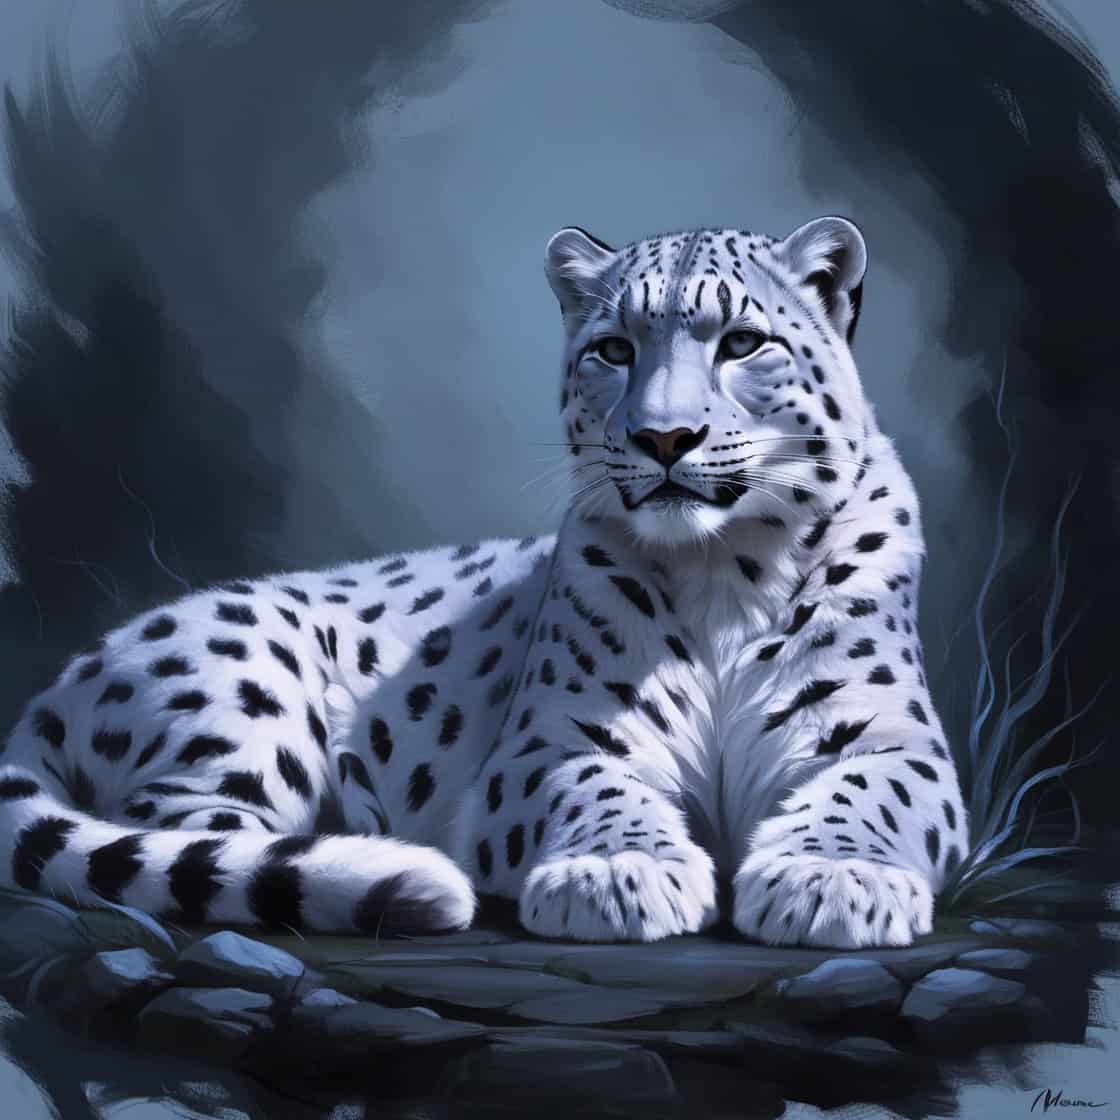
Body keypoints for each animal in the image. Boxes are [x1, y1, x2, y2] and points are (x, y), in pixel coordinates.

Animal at [0, 216, 967, 948]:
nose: (663, 437)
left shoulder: (892, 738)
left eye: (742, 343)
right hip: (248, 685)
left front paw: (833, 881)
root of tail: (67, 674)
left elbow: (876, 793)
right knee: (182, 839)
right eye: (613, 349)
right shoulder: (548, 742)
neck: (722, 573)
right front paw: (619, 874)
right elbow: (597, 787)